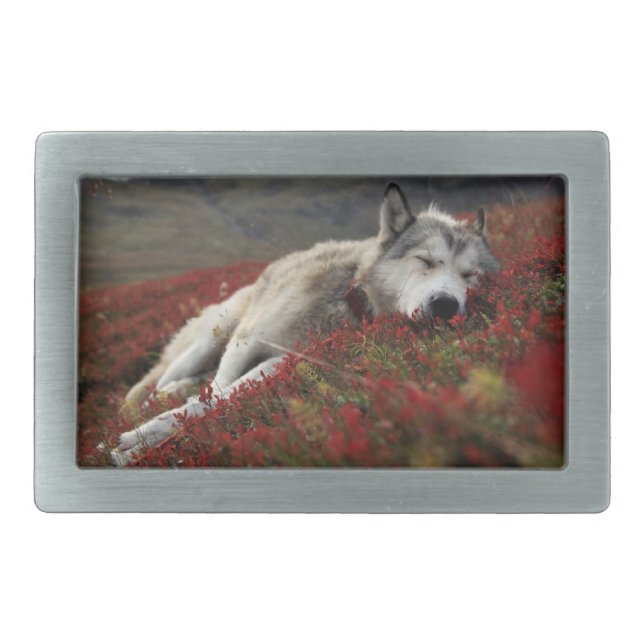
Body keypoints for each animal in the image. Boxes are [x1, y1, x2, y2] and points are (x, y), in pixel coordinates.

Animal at [110, 183, 498, 464]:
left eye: (470, 275)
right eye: (426, 261)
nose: (446, 305)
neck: (347, 298)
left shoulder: (284, 360)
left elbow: (219, 399)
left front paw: (143, 442)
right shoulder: (246, 342)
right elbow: (215, 393)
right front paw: (142, 436)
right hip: (213, 336)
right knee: (151, 388)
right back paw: (159, 396)